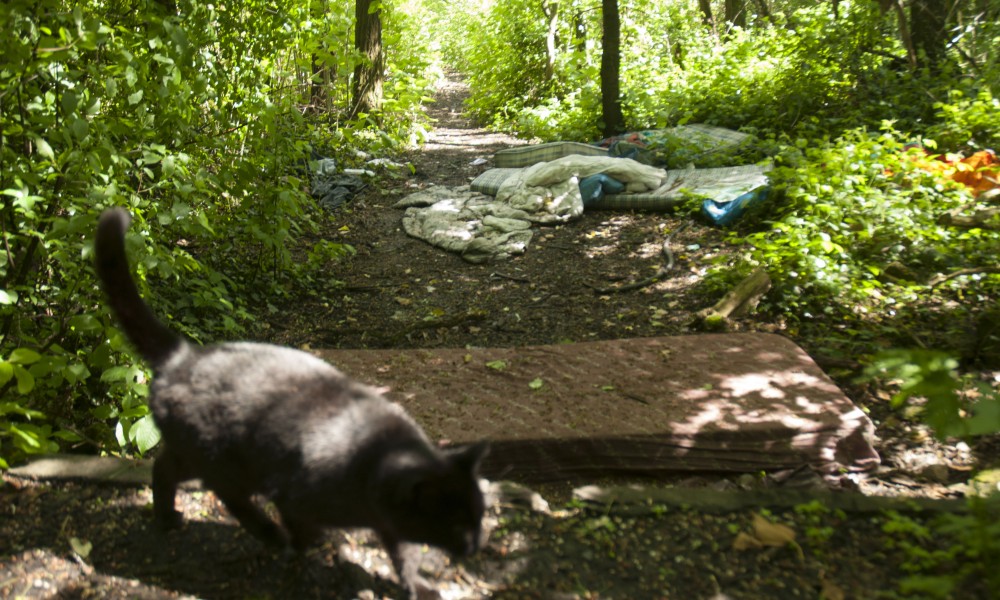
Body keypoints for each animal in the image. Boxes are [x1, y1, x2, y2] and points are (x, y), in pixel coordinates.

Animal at [94, 209, 488, 596]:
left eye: (479, 515)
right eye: (457, 524)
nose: (475, 546)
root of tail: (184, 355)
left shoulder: (391, 523)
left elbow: (405, 554)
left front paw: (418, 586)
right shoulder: (292, 497)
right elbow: (306, 532)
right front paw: (309, 553)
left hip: (198, 454)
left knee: (163, 469)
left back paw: (168, 519)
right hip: (224, 461)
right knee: (230, 498)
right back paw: (268, 535)